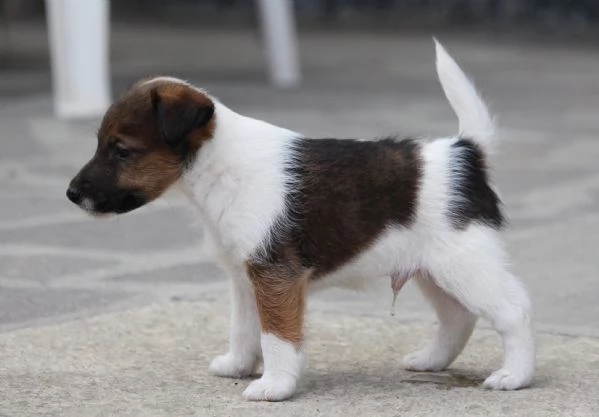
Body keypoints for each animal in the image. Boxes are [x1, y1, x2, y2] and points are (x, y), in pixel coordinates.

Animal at [68, 41, 536, 400]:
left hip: (465, 266)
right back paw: (430, 360)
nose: (71, 194)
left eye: (121, 151)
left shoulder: (276, 276)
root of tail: (465, 153)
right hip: (433, 271)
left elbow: (276, 337)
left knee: (513, 311)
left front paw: (274, 386)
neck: (219, 166)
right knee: (458, 318)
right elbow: (243, 329)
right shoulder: (245, 278)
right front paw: (238, 365)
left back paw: (515, 376)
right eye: (99, 144)